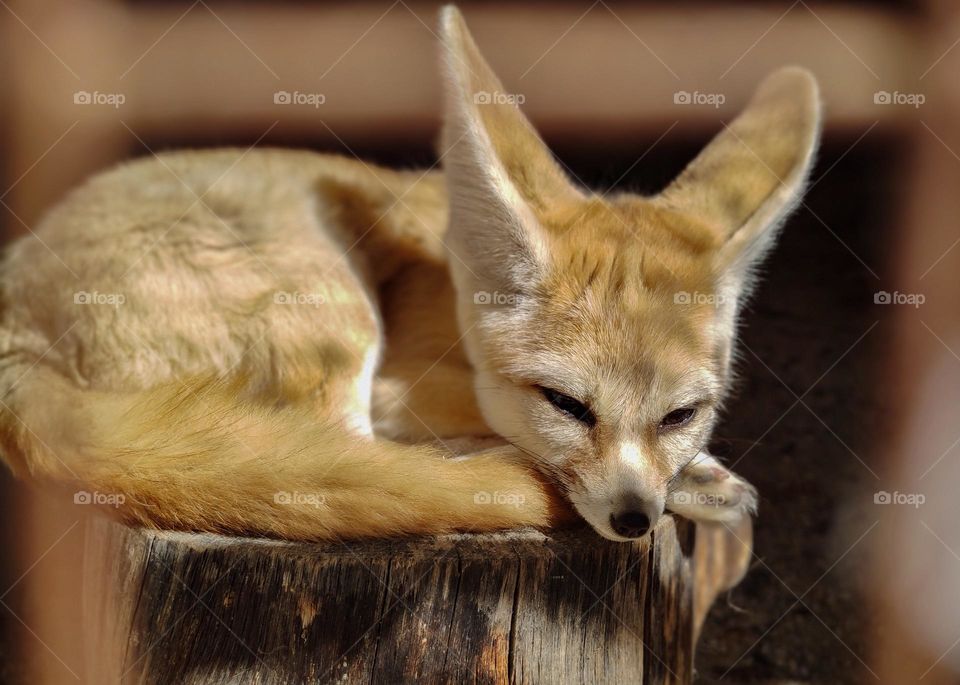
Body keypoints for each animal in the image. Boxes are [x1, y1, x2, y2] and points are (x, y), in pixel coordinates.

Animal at [0, 5, 820, 540]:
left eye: (680, 414)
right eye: (565, 403)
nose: (632, 518)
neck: (453, 290)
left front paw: (691, 470)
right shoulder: (403, 380)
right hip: (336, 311)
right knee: (336, 452)